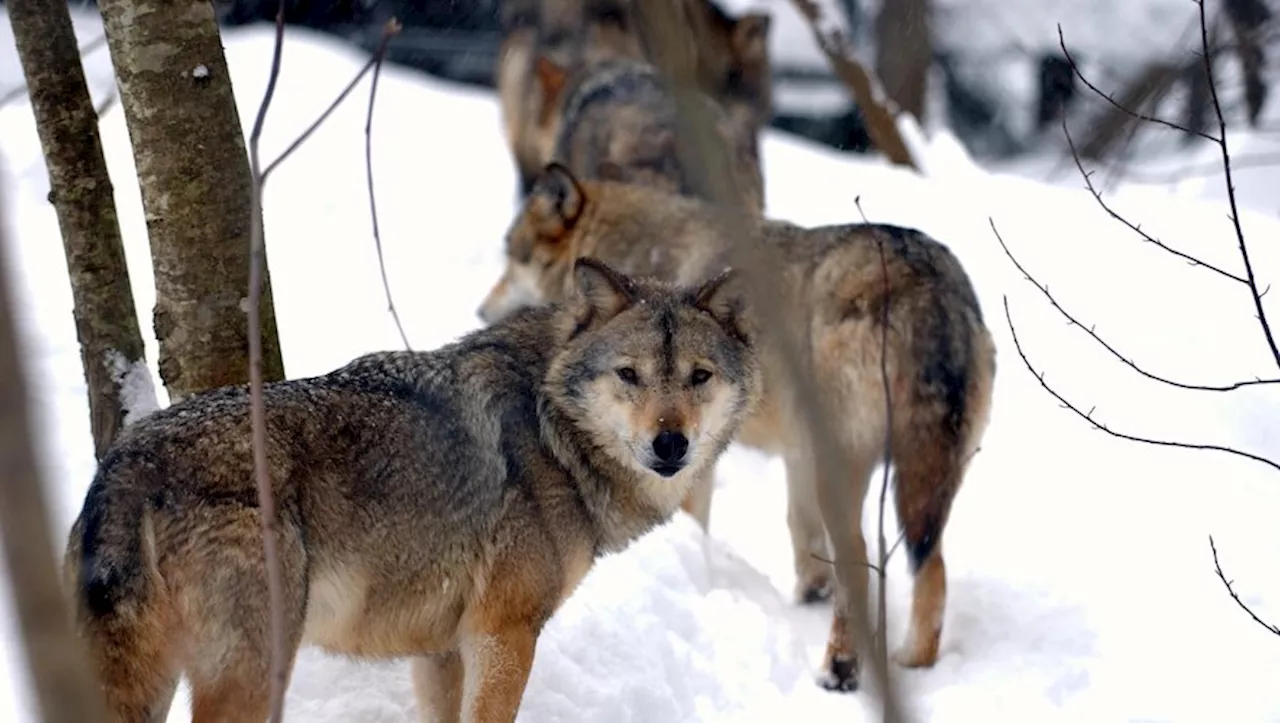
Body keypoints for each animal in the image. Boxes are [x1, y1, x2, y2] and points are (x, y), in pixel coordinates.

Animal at [62, 259, 757, 721]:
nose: (671, 445)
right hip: (255, 672)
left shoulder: (441, 652)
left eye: (699, 377)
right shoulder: (503, 635)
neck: (550, 429)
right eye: (629, 375)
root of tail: (127, 461)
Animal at [476, 163, 993, 685]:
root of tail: (925, 282)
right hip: (923, 478)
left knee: (864, 560)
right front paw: (810, 593)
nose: (481, 309)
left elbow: (700, 521)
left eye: (511, 257)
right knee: (932, 566)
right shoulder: (795, 454)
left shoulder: (692, 456)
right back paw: (915, 662)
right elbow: (801, 533)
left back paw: (839, 670)